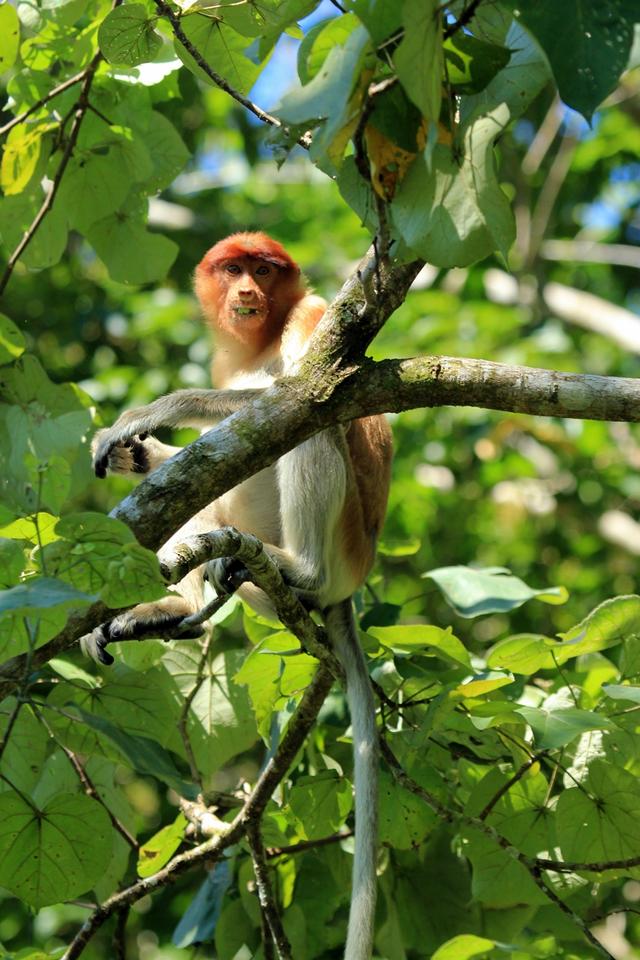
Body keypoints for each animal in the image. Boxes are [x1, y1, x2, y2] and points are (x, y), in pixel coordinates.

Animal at [82, 234, 390, 960]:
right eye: (232, 268)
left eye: (264, 269)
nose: (247, 291)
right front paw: (135, 453)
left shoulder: (315, 312)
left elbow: (292, 393)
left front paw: (145, 415)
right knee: (203, 484)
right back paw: (175, 609)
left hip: (344, 541)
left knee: (308, 420)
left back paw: (300, 569)